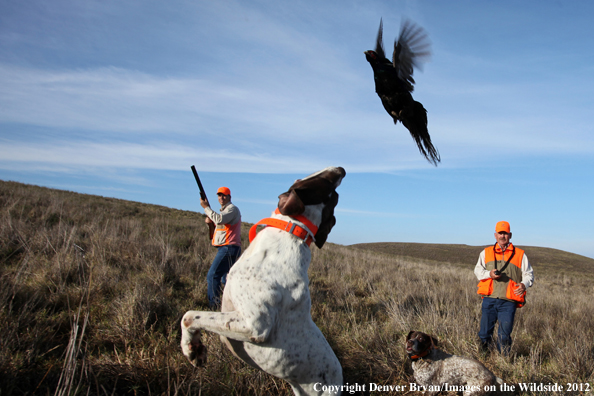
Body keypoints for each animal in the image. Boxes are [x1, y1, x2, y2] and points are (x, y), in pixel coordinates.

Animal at [183, 166, 344, 396]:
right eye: (329, 183)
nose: (342, 169)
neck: (293, 228)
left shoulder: (255, 326)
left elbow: (189, 316)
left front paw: (192, 349)